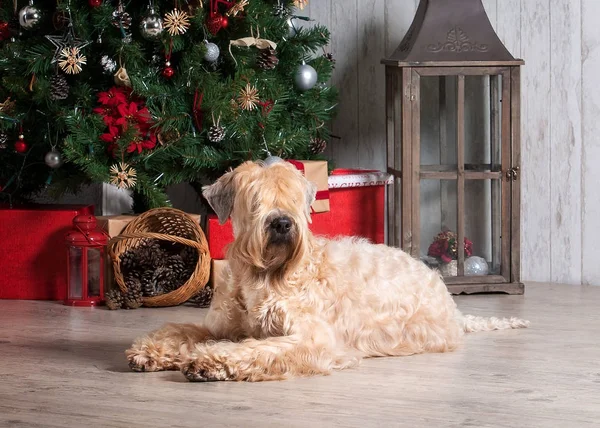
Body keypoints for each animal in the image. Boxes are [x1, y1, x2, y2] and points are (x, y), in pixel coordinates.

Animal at [126, 158, 528, 382]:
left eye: (293, 197)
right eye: (254, 199)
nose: (282, 224)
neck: (262, 276)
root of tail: (449, 299)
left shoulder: (312, 337)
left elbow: (256, 349)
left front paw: (210, 361)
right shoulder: (220, 326)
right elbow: (181, 330)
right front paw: (150, 351)